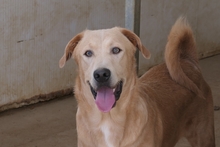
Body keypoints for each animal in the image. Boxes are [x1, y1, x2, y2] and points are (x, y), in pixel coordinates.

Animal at [58, 17, 215, 147]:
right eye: (88, 53)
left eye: (116, 50)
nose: (101, 74)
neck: (108, 119)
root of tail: (187, 61)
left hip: (204, 137)